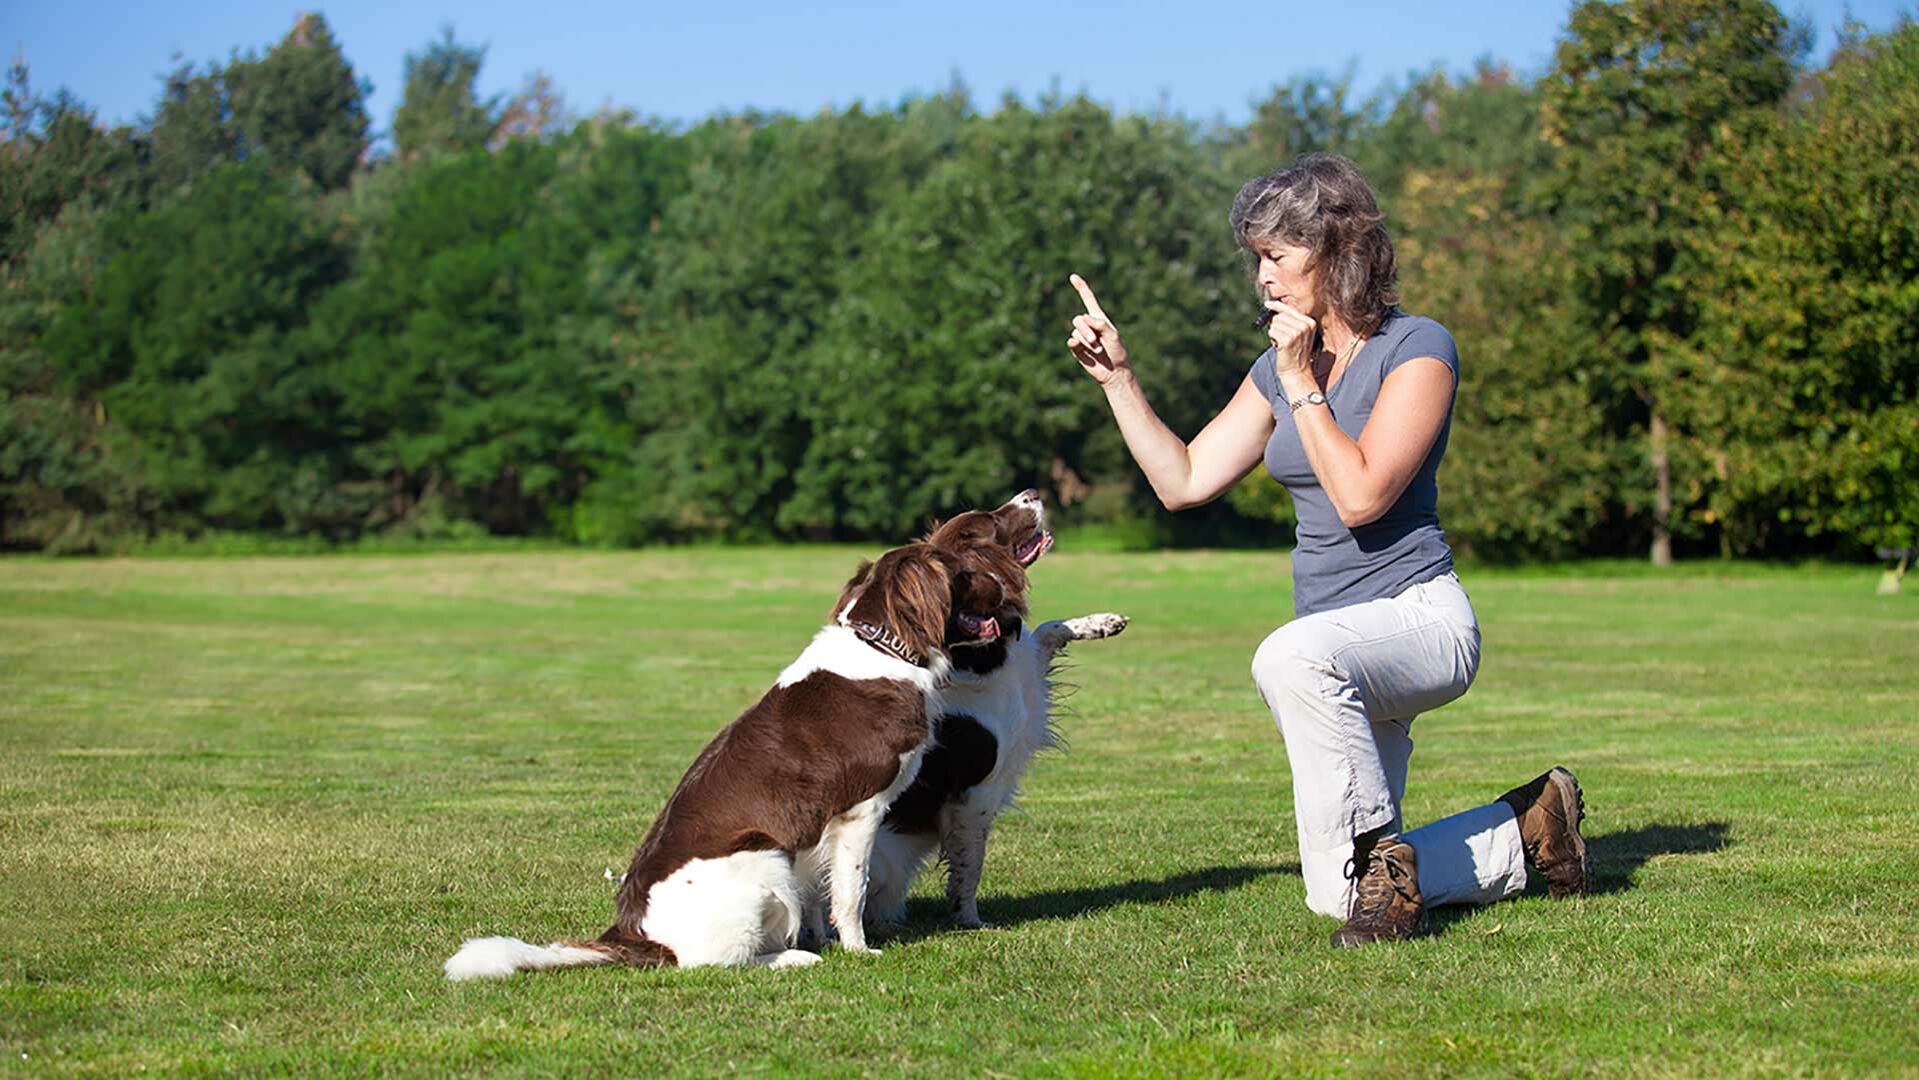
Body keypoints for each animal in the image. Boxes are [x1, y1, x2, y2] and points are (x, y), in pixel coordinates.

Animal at [445, 533, 1020, 982]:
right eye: (967, 572)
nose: (1009, 591)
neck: (881, 648)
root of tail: (635, 934)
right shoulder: (862, 809)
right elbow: (850, 890)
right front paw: (857, 949)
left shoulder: (817, 826)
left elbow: (819, 890)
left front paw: (823, 937)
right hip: (763, 861)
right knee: (712, 962)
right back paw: (793, 959)